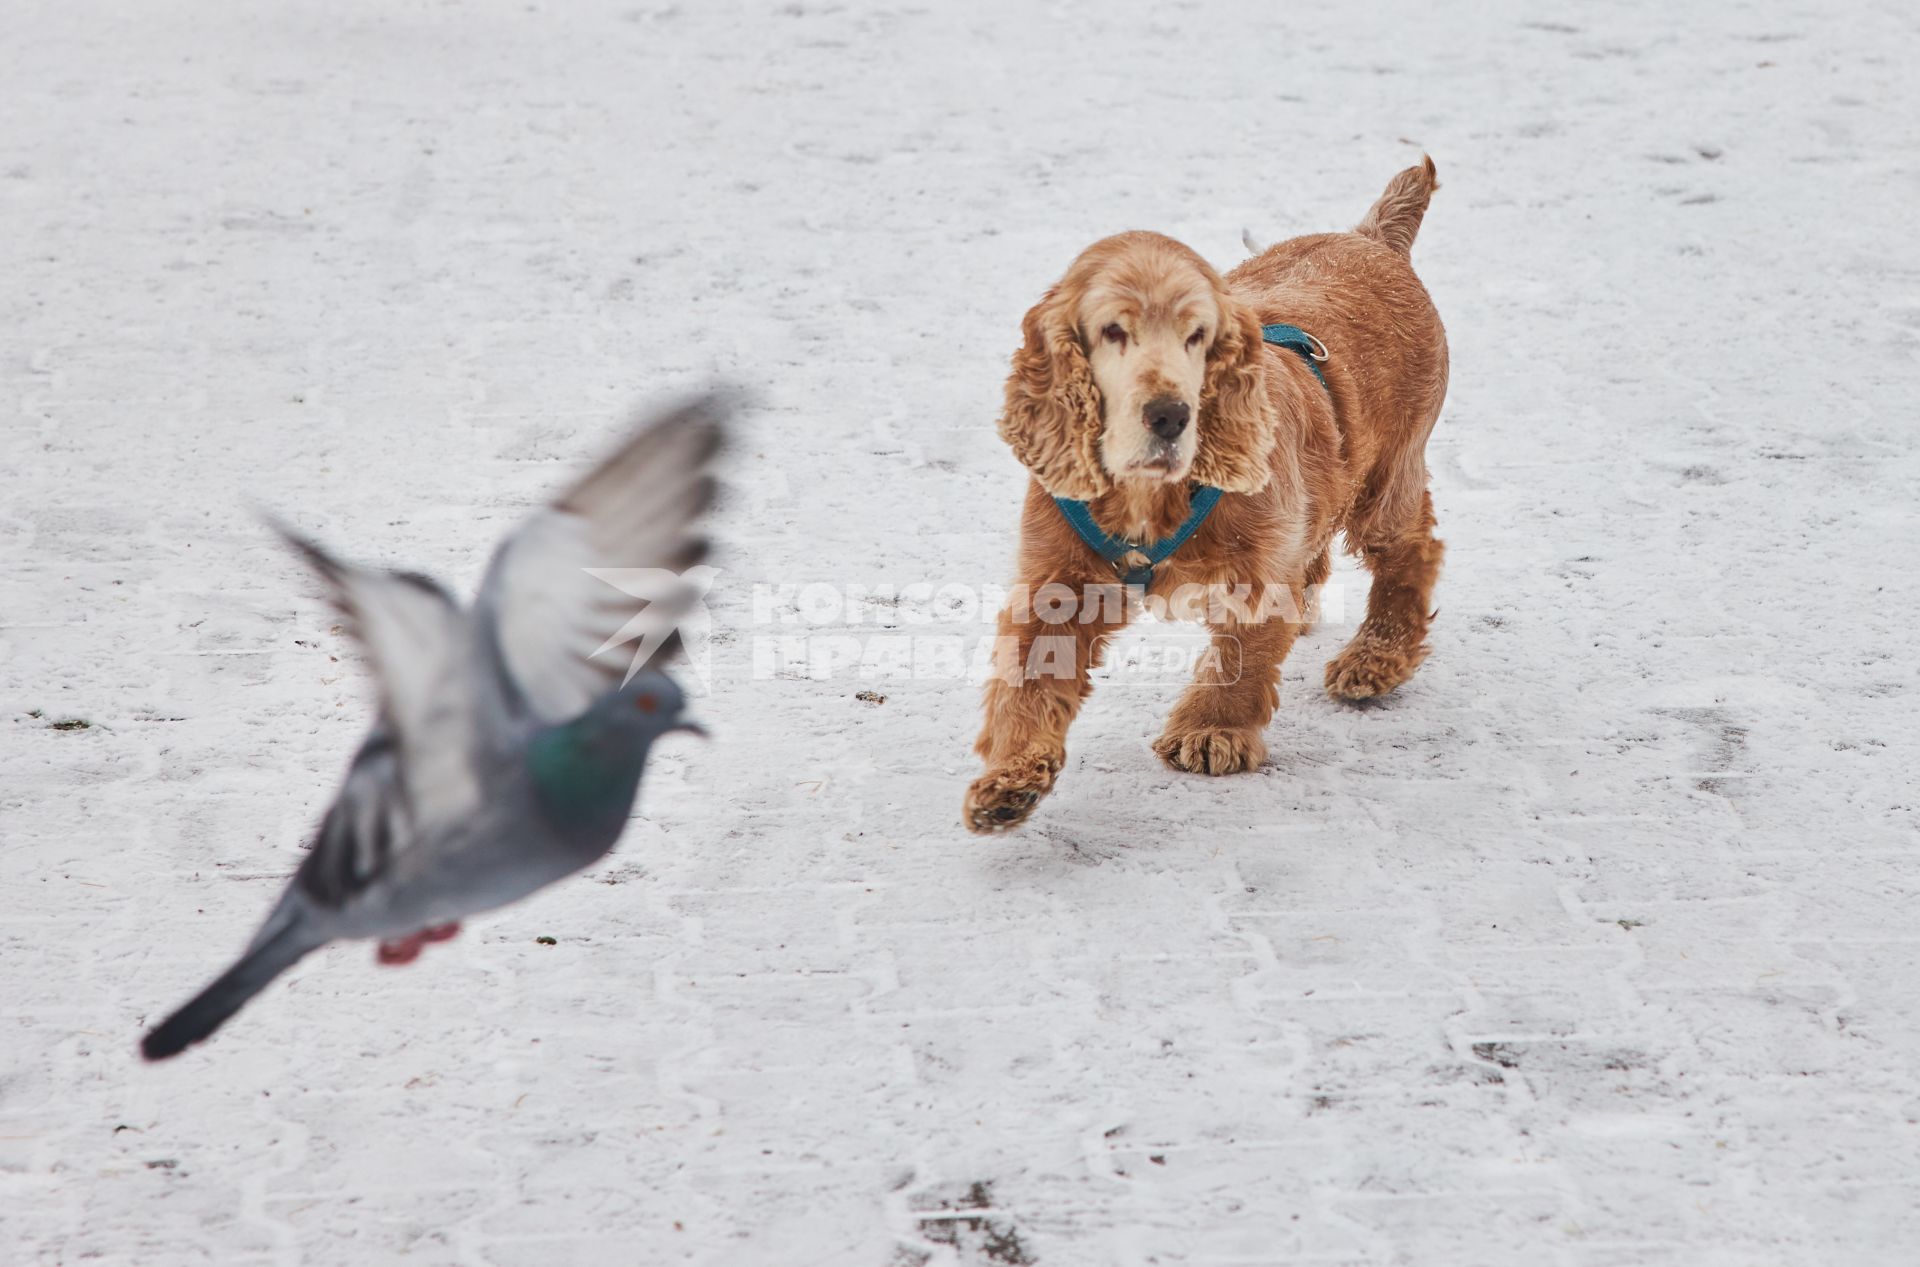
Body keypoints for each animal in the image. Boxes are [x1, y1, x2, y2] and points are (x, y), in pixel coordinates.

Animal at [967, 155, 1443, 833]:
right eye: (1113, 331)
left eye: (1197, 334)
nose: (1169, 414)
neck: (1151, 490)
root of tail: (1373, 239)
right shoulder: (1057, 582)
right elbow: (1029, 678)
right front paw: (1009, 781)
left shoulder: (1259, 570)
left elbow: (1242, 655)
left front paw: (1211, 732)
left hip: (1388, 478)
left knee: (1414, 551)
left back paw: (1374, 660)